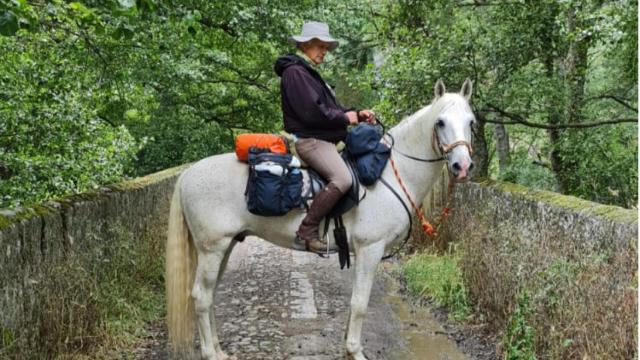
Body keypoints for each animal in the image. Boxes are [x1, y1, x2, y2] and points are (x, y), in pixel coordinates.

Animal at [165, 79, 476, 360]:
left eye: (471, 122)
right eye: (440, 122)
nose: (462, 166)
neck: (387, 173)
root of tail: (188, 174)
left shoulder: (360, 251)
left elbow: (354, 303)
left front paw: (347, 350)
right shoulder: (370, 249)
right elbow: (360, 303)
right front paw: (355, 352)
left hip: (225, 246)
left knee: (210, 295)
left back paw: (219, 349)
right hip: (212, 248)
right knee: (201, 297)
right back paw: (210, 353)